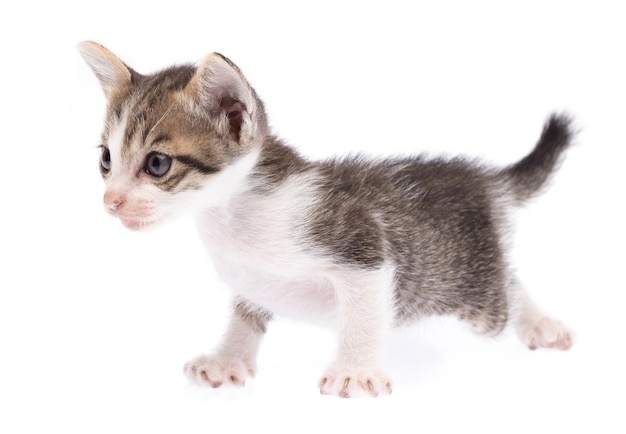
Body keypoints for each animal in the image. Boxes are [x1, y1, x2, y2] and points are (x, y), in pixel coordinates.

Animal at [80, 40, 572, 396]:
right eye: (106, 159)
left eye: (157, 164)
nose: (111, 201)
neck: (232, 214)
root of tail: (483, 180)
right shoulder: (252, 278)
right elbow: (245, 314)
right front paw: (227, 359)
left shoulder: (361, 243)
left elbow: (363, 313)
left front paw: (355, 370)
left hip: (471, 298)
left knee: (505, 289)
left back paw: (541, 323)